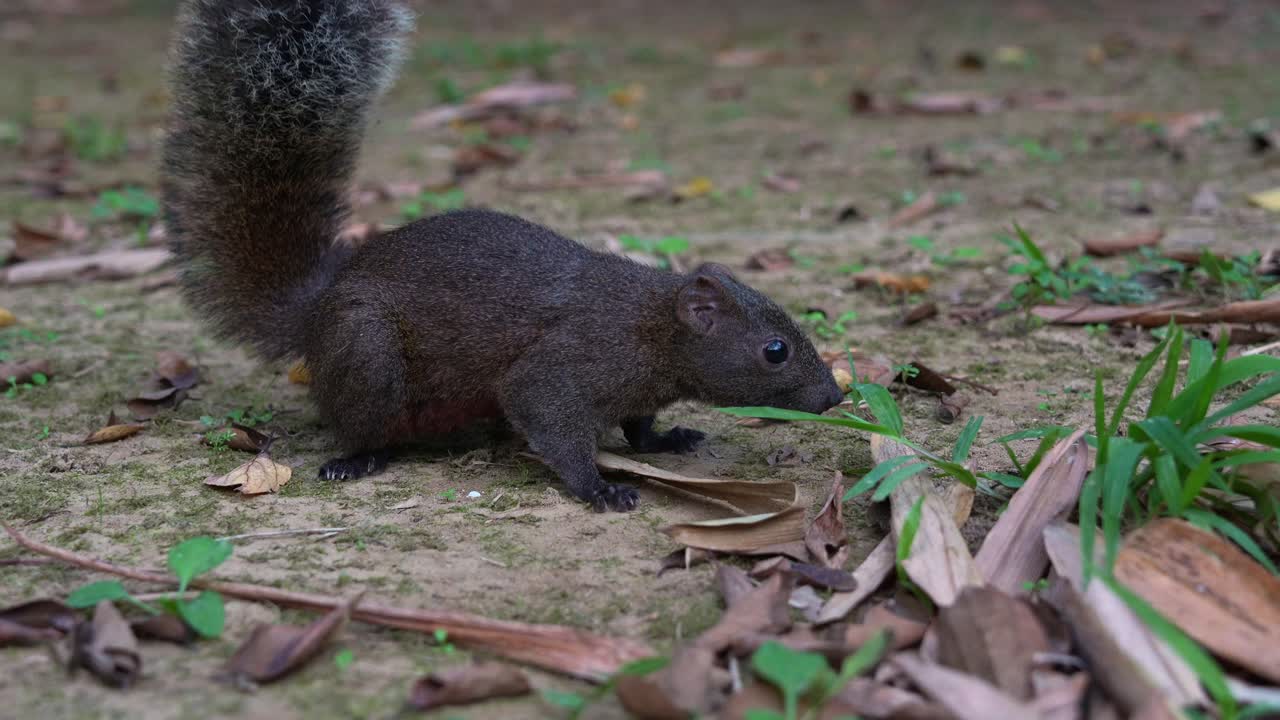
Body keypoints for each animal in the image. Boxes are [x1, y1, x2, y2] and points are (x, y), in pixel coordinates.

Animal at [162, 0, 845, 512]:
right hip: (366, 351)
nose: (835, 399)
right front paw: (600, 488)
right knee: (357, 422)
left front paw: (668, 439)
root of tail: (316, 309)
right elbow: (552, 421)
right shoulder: (568, 364)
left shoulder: (638, 390)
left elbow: (640, 426)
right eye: (775, 350)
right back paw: (357, 459)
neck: (653, 325)